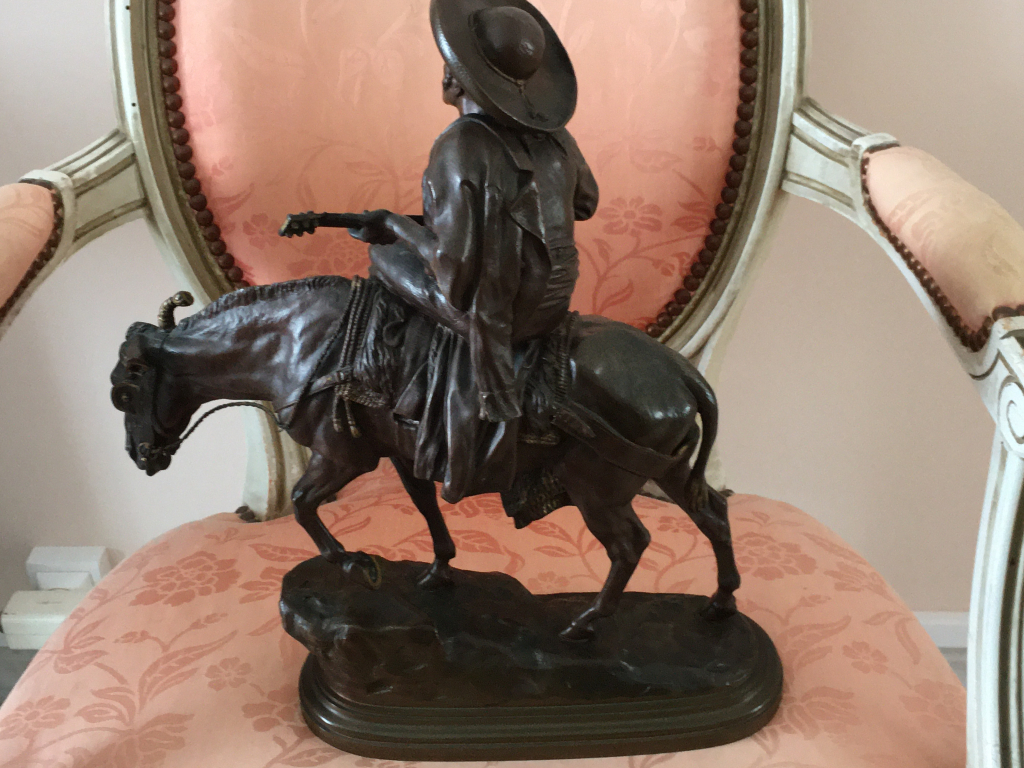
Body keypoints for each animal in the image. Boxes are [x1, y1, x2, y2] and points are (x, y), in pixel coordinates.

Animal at [109, 276, 739, 640]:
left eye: (124, 392)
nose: (140, 457)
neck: (298, 341)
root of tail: (680, 372)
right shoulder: (402, 452)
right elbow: (424, 507)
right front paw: (437, 569)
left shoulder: (342, 458)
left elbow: (305, 505)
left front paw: (357, 564)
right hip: (669, 471)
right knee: (712, 513)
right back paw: (720, 602)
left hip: (598, 488)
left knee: (631, 545)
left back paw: (587, 621)